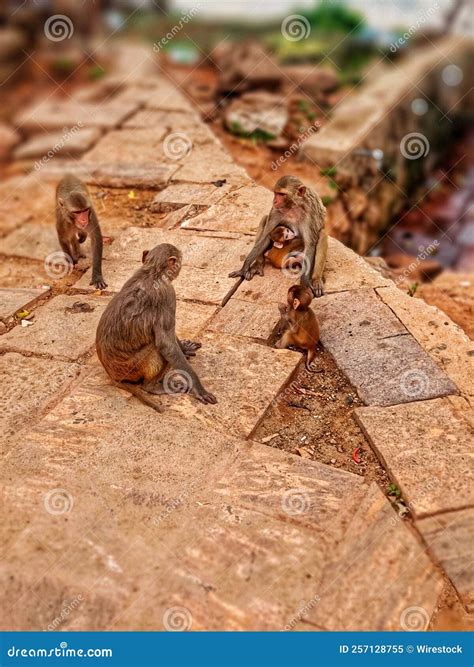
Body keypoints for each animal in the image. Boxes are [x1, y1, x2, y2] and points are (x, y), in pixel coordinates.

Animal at [96, 243, 217, 412]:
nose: (180, 266)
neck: (152, 271)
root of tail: (113, 375)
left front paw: (184, 348)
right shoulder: (169, 294)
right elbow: (166, 344)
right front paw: (198, 388)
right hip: (132, 368)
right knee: (156, 348)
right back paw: (151, 386)